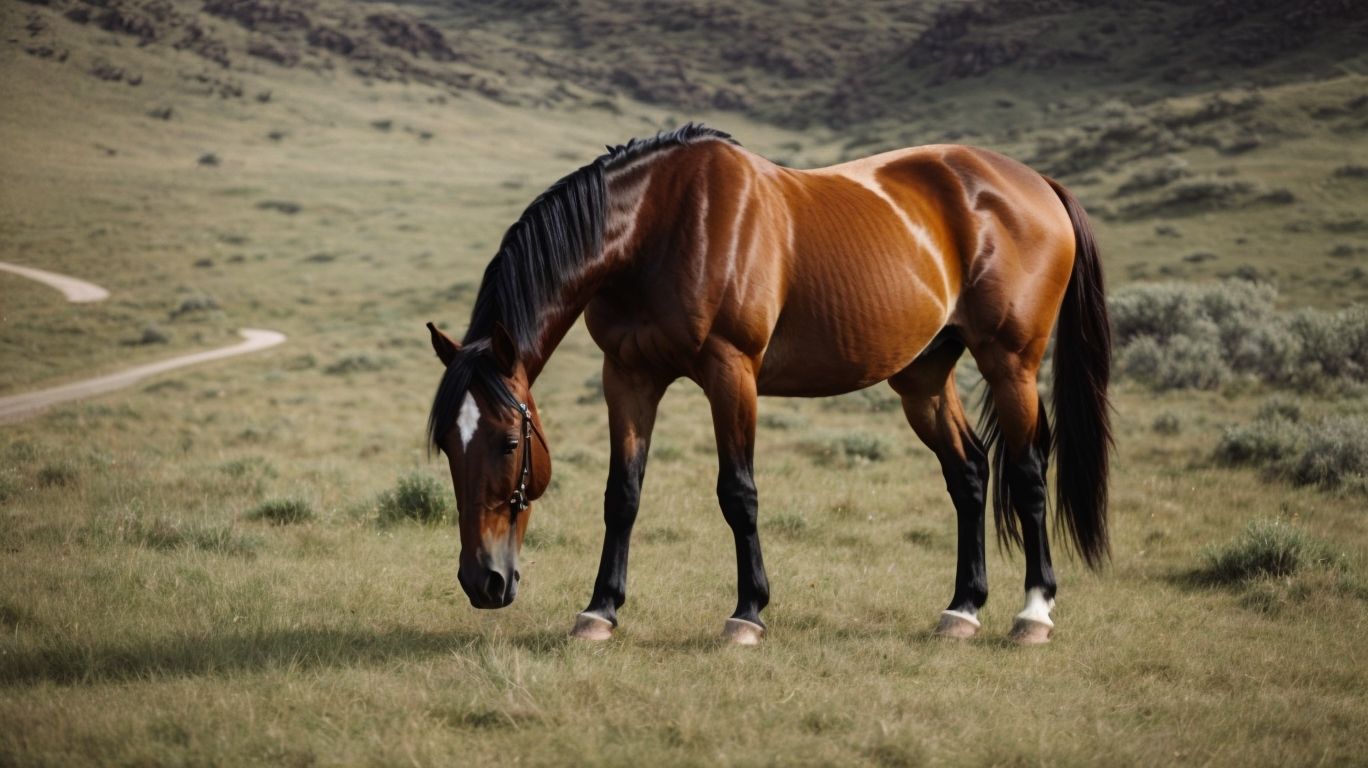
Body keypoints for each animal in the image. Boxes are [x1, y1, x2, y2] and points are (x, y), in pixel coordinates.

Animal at [425, 124, 1112, 646]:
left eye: (510, 443)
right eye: (450, 447)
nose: (483, 582)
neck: (660, 225)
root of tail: (1035, 184)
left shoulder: (731, 372)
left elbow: (739, 493)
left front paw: (747, 614)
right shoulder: (627, 375)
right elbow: (622, 494)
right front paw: (600, 610)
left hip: (1010, 364)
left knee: (1027, 472)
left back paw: (1033, 613)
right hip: (924, 378)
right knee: (968, 471)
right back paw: (962, 609)